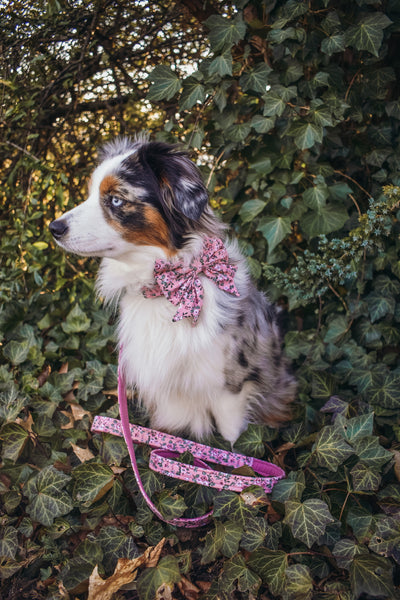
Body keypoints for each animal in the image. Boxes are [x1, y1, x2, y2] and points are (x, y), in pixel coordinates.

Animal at [48, 138, 296, 442]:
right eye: (90, 194)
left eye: (116, 199)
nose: (54, 227)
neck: (165, 290)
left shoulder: (231, 384)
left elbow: (231, 437)